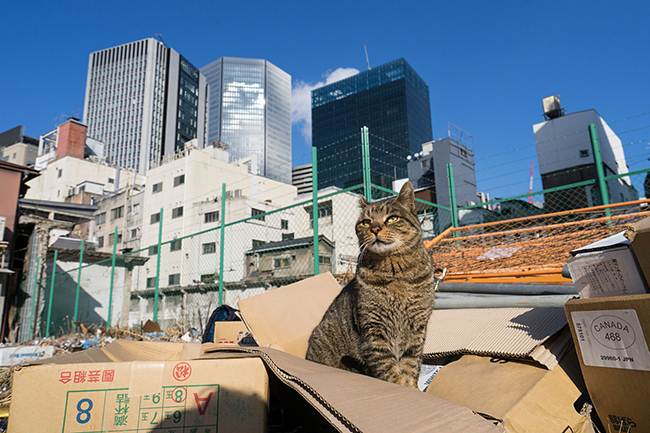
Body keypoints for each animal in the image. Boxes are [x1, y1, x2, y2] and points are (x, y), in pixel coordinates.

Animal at [306, 181, 436, 386]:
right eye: (366, 222)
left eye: (392, 218)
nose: (374, 229)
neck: (395, 273)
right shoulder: (373, 328)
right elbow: (388, 369)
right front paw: (401, 387)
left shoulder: (417, 328)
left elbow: (411, 365)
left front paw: (411, 387)